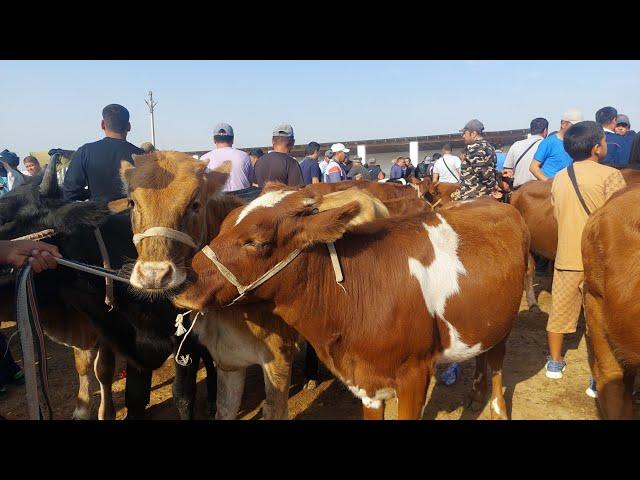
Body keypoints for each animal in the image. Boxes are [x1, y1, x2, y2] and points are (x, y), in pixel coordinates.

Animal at [171, 189, 528, 418]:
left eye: (257, 242)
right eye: (221, 227)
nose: (184, 280)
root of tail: (493, 201)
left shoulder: (415, 375)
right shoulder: (367, 383)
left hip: (505, 321)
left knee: (497, 362)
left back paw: (496, 409)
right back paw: (476, 394)